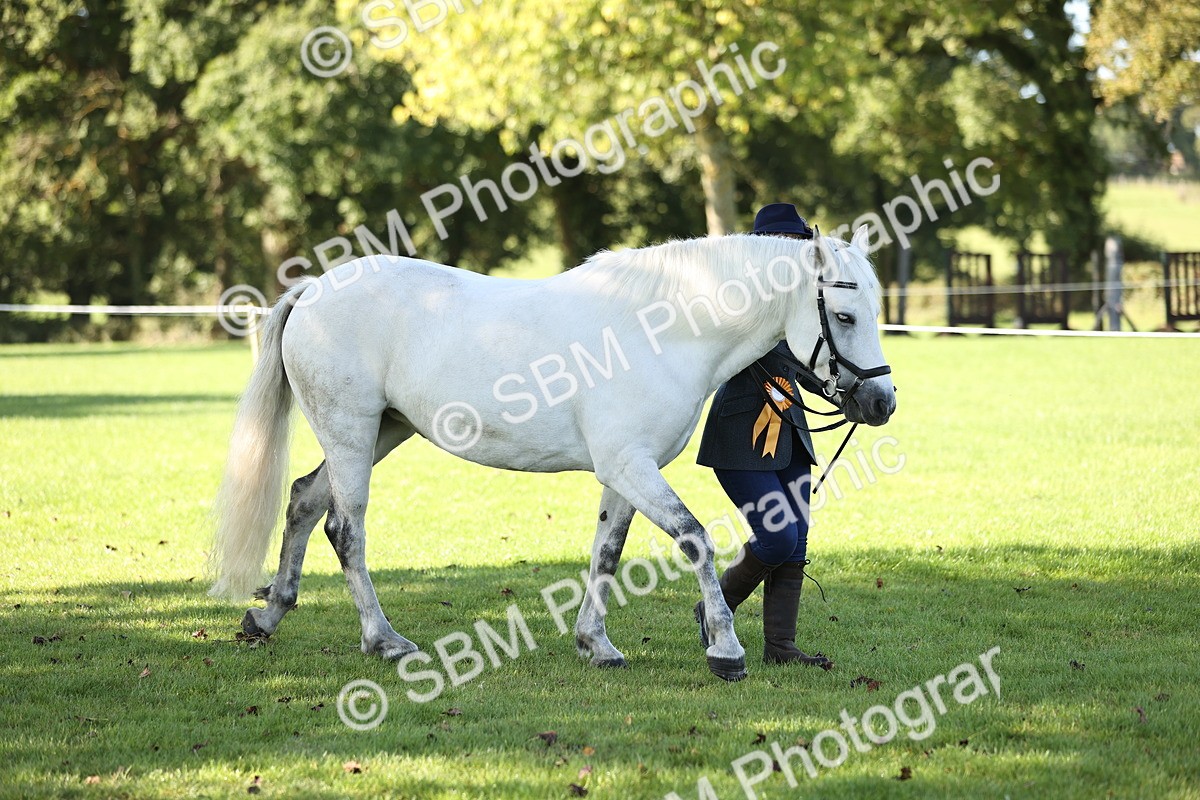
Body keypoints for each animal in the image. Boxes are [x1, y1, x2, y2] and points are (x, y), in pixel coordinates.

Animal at [208, 225, 896, 681]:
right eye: (843, 314)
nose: (881, 401)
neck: (662, 329)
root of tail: (314, 290)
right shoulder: (631, 466)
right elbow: (696, 539)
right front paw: (725, 652)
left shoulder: (624, 473)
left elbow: (607, 553)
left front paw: (597, 645)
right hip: (351, 432)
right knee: (345, 529)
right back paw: (385, 640)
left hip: (380, 432)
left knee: (303, 501)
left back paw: (267, 617)